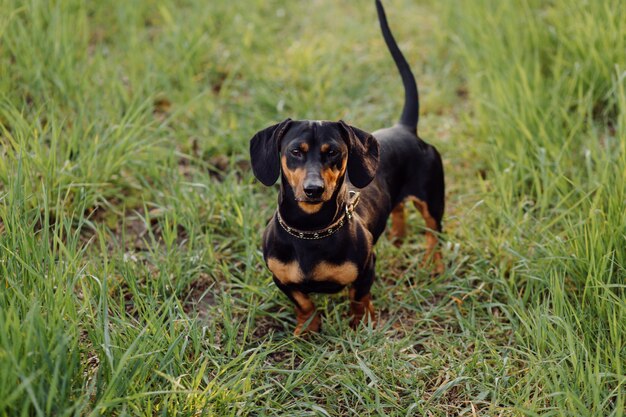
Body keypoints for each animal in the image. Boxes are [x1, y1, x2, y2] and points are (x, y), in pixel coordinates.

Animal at [249, 0, 444, 334]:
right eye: (295, 152)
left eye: (334, 153)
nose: (314, 190)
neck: (310, 231)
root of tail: (405, 128)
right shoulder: (280, 278)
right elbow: (304, 302)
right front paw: (307, 329)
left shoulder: (366, 268)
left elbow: (358, 298)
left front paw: (362, 324)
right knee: (398, 208)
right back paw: (398, 236)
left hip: (433, 201)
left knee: (435, 235)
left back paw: (434, 265)